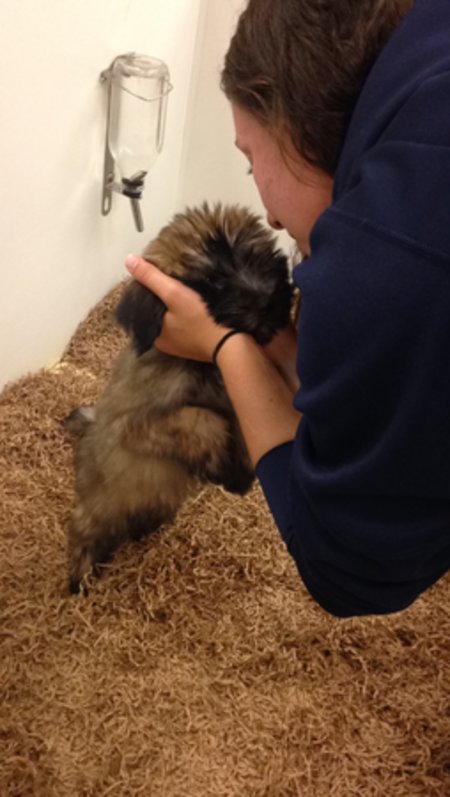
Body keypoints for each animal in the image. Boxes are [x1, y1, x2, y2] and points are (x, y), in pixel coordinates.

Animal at [65, 203, 293, 593]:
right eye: (213, 282)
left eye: (255, 256)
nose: (268, 299)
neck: (203, 364)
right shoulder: (137, 424)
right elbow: (202, 419)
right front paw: (222, 467)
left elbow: (237, 423)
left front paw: (240, 473)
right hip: (102, 505)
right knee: (85, 530)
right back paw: (82, 573)